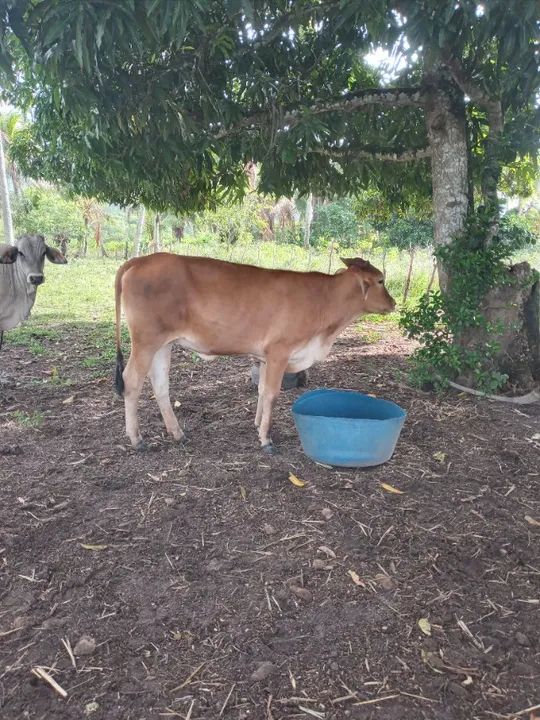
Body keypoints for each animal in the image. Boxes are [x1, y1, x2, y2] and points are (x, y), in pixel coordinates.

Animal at [114, 254, 395, 453]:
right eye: (381, 280)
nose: (393, 303)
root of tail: (141, 260)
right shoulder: (280, 352)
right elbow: (271, 394)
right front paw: (266, 439)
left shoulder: (265, 357)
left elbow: (260, 391)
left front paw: (258, 425)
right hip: (146, 342)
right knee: (131, 382)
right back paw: (136, 439)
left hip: (163, 344)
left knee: (160, 385)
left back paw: (178, 433)